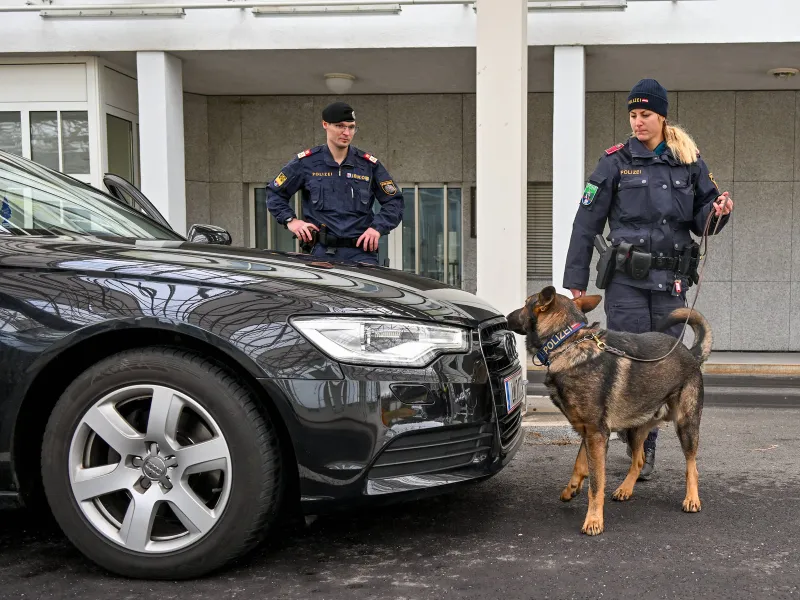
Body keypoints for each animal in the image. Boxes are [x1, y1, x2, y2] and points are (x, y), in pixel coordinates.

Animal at [506, 286, 712, 536]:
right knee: (639, 460)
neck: (566, 342)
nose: (505, 317)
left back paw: (692, 498)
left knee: (691, 465)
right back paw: (625, 489)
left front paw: (594, 519)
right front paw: (572, 487)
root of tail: (690, 353)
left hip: (685, 426)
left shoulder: (596, 434)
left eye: (526, 303)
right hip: (634, 430)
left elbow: (596, 483)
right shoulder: (588, 432)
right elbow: (580, 464)